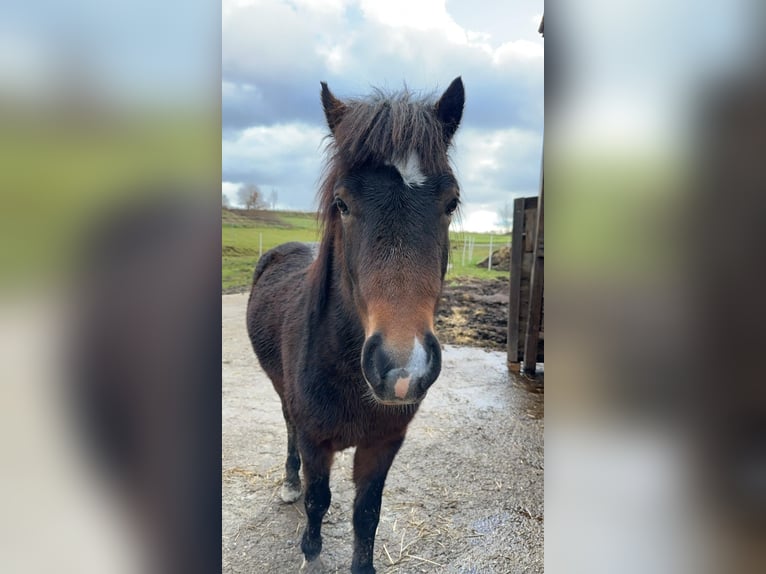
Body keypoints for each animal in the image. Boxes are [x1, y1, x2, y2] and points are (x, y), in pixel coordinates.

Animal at [249, 77, 464, 574]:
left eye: (451, 202)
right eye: (342, 203)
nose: (403, 369)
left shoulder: (383, 444)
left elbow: (367, 514)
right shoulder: (316, 441)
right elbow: (318, 499)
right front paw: (310, 550)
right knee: (289, 431)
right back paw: (289, 483)